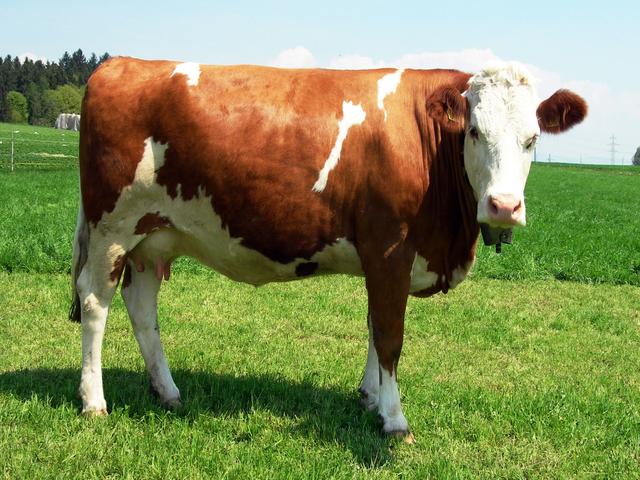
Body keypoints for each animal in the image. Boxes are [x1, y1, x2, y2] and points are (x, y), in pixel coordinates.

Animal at [70, 57, 586, 441]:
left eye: (532, 139)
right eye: (475, 131)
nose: (504, 206)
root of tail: (118, 63)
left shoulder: (382, 260)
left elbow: (375, 327)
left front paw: (370, 397)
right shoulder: (390, 249)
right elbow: (390, 336)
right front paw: (394, 418)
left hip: (151, 238)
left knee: (142, 308)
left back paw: (168, 391)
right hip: (110, 226)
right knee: (96, 302)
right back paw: (94, 401)